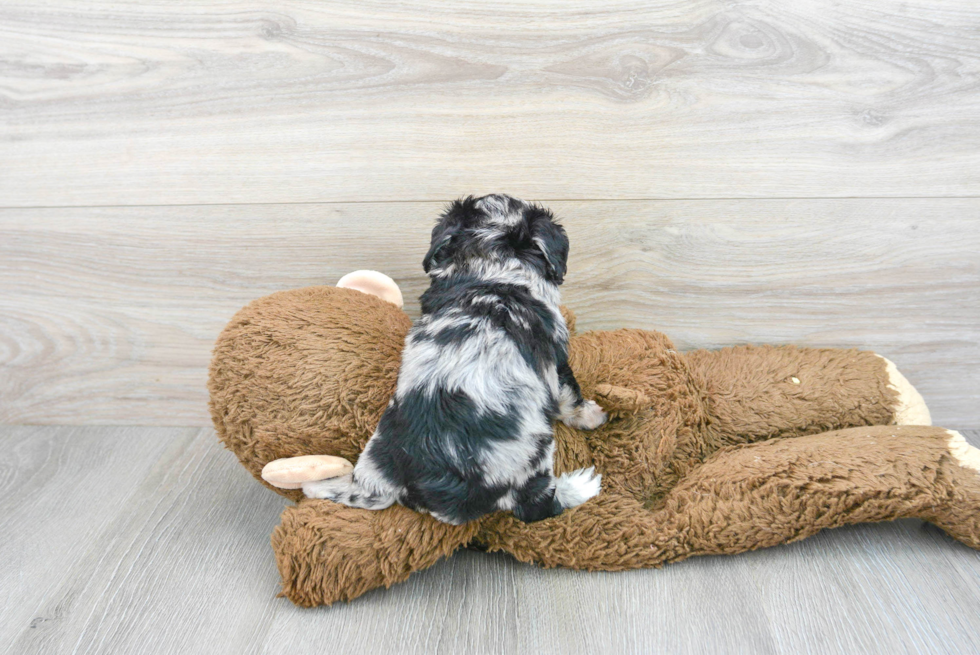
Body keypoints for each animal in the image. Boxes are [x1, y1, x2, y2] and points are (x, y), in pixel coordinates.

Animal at [302, 193, 604, 524]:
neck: (491, 270)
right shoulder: (557, 361)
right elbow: (571, 396)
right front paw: (593, 416)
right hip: (534, 455)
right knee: (538, 506)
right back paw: (579, 486)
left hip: (375, 457)